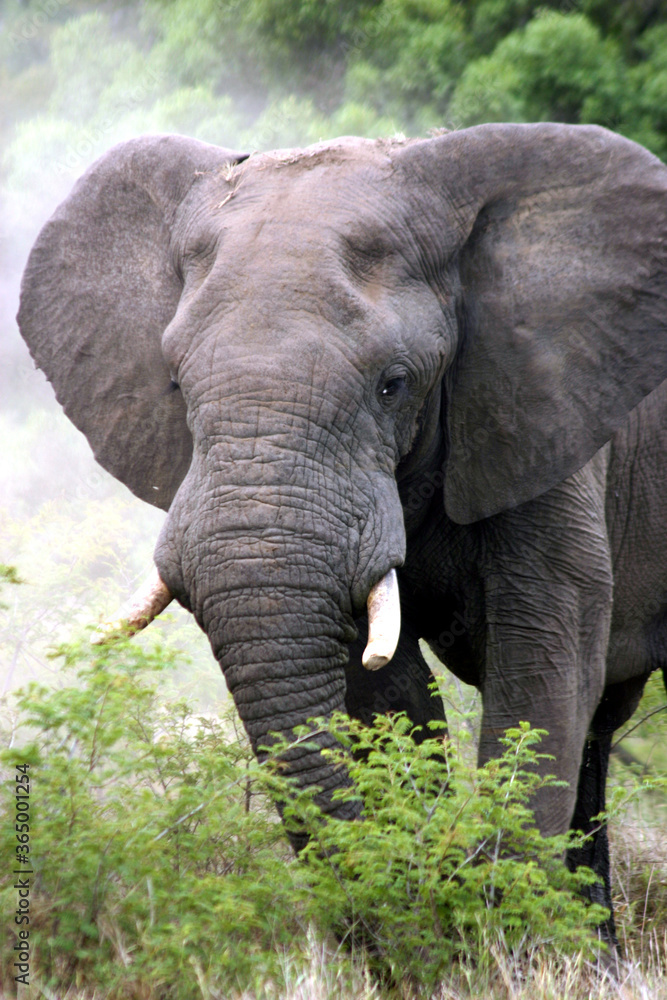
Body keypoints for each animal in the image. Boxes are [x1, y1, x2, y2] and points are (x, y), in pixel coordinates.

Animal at [17, 122, 667, 940]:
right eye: (174, 384)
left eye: (393, 384)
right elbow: (384, 692)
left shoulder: (543, 413)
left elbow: (544, 659)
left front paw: (496, 941)